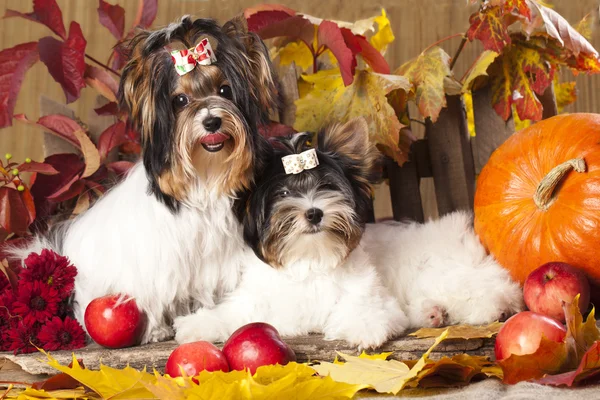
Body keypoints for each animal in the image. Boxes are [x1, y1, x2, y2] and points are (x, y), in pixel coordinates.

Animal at [11, 16, 278, 344]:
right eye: (180, 100)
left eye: (225, 90)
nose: (212, 121)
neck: (203, 177)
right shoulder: (156, 264)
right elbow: (152, 294)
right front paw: (154, 330)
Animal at [175, 117, 412, 348]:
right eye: (283, 193)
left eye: (326, 186)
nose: (314, 213)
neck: (310, 258)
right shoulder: (257, 300)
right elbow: (235, 312)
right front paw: (200, 324)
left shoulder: (368, 291)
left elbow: (367, 305)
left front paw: (364, 325)